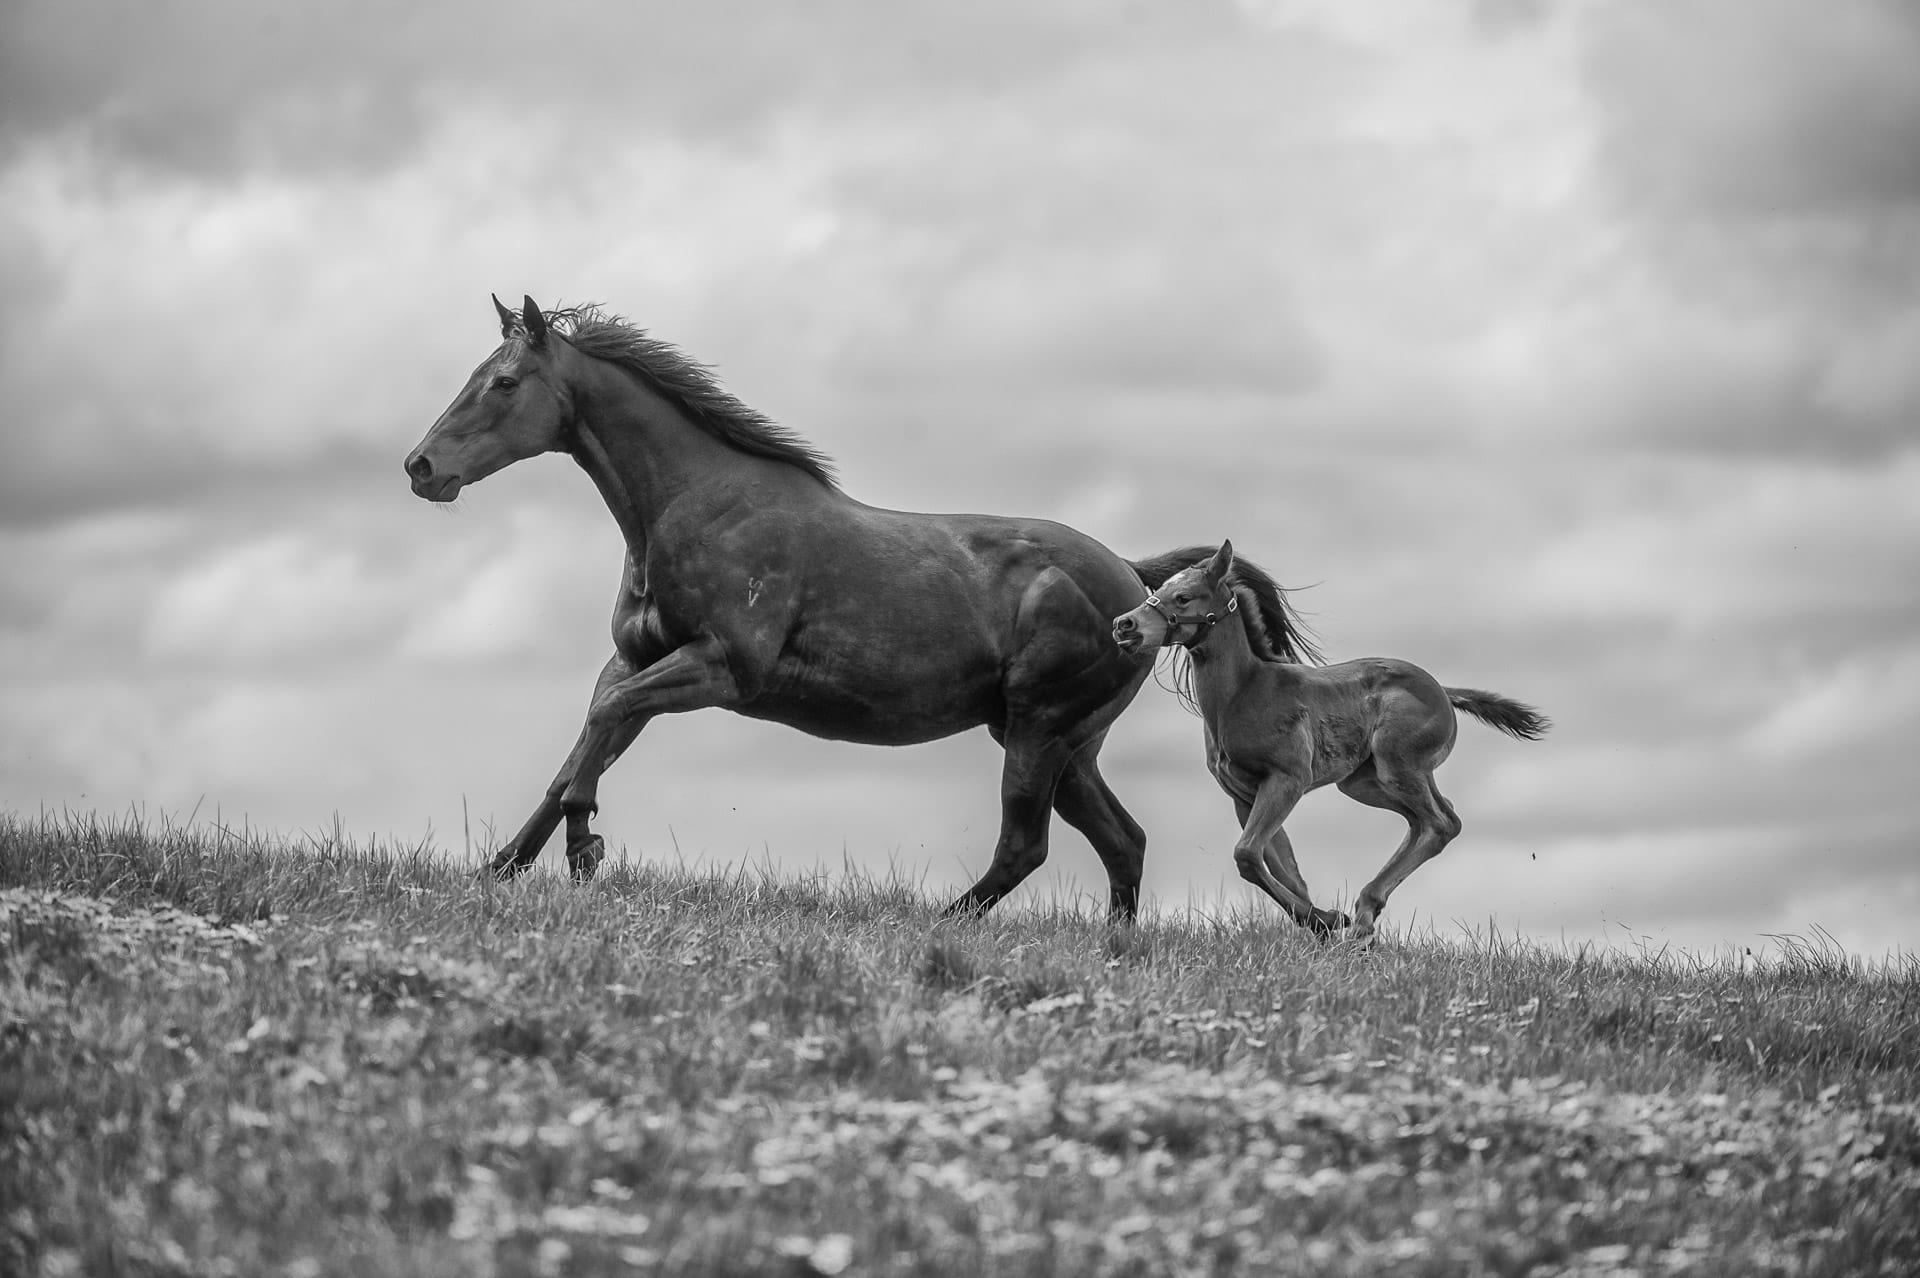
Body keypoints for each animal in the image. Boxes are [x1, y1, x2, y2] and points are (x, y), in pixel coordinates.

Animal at [402, 296, 1318, 919]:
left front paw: (584, 844)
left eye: (504, 382)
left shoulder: (719, 669)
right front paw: (505, 866)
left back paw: (941, 924)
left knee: (1026, 846)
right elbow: (582, 745)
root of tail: (1136, 584)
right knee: (1121, 842)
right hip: (1064, 743)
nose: (420, 467)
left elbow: (596, 735)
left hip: (1040, 731)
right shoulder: (637, 659)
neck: (696, 505)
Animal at [1111, 540, 1548, 941]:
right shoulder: (1243, 795)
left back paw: (1362, 918)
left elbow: (1247, 854)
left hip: (1397, 767)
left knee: (1441, 823)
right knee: (1426, 820)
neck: (1245, 692)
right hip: (1362, 782)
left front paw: (1324, 920)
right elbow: (1282, 866)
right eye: (1161, 587)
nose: (1124, 625)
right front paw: (1320, 921)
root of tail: (1442, 689)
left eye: (1183, 597)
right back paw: (1365, 915)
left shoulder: (1287, 780)